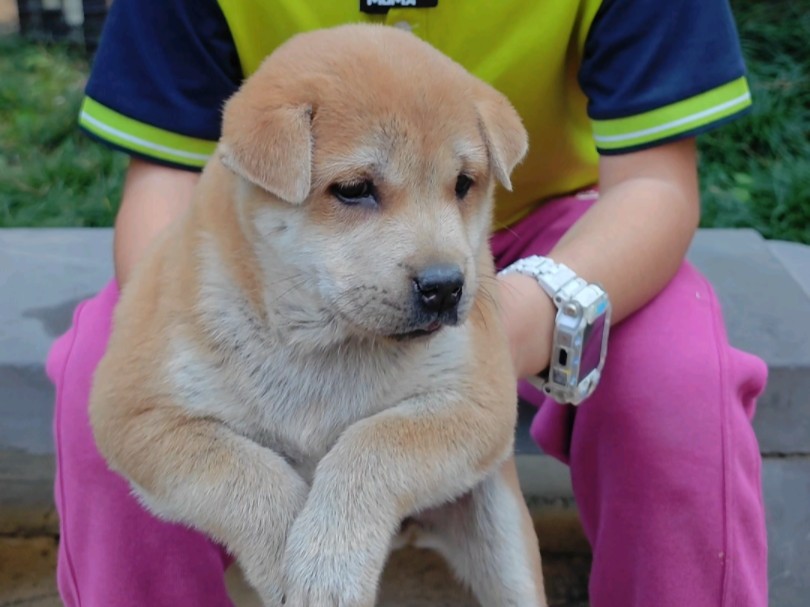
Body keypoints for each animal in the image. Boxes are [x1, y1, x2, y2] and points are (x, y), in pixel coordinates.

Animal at [88, 23, 544, 607]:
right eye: (353, 190)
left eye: (464, 183)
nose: (444, 287)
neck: (324, 347)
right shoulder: (137, 414)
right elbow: (245, 473)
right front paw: (289, 556)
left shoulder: (478, 401)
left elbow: (372, 445)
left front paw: (327, 562)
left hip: (504, 545)